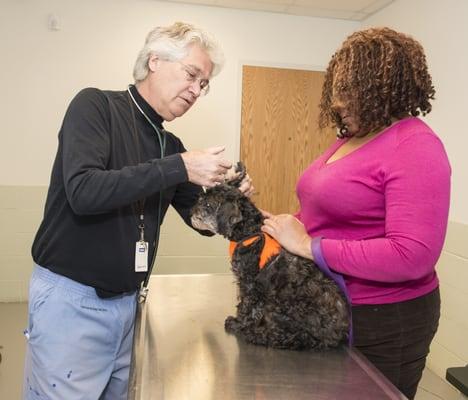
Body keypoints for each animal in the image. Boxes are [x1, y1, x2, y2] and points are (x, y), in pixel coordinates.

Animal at [190, 162, 348, 350]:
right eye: (201, 198)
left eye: (208, 205)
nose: (192, 211)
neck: (250, 230)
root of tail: (335, 335)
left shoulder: (249, 281)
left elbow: (246, 305)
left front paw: (238, 323)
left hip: (281, 303)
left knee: (292, 337)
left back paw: (256, 334)